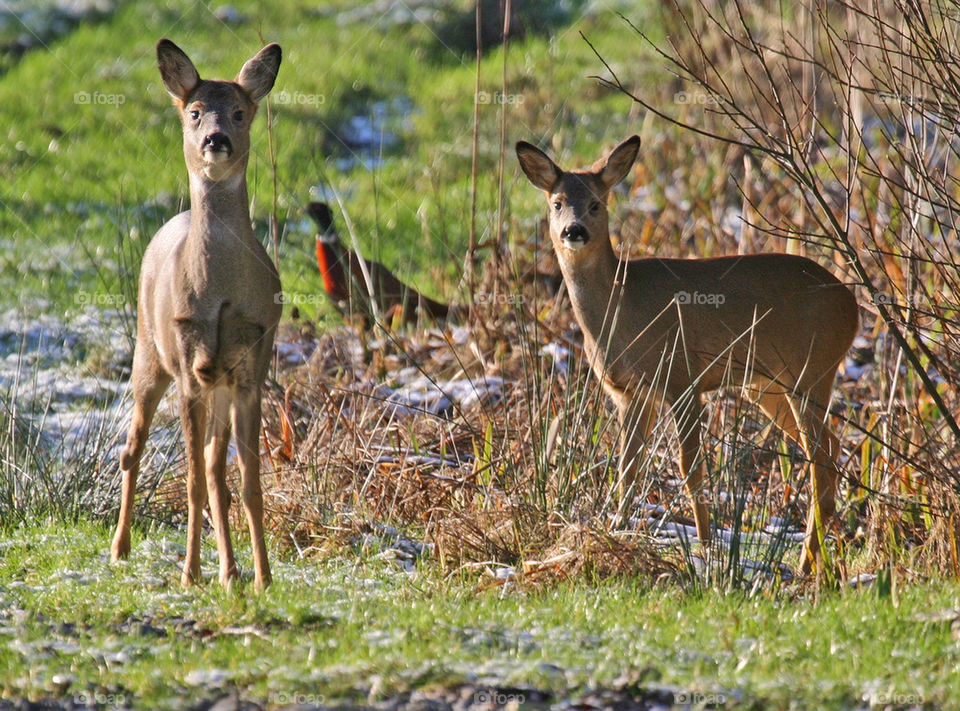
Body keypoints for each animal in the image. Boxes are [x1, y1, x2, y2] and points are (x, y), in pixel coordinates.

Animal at [110, 41, 282, 592]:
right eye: (194, 112)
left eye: (240, 112)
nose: (216, 139)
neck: (222, 291)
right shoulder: (189, 370)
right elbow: (190, 483)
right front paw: (189, 573)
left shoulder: (250, 371)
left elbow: (246, 483)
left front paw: (261, 577)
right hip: (149, 352)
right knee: (134, 445)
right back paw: (120, 548)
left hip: (220, 385)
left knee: (212, 466)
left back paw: (230, 570)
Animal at [520, 136, 860, 576]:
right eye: (557, 202)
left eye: (596, 203)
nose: (573, 230)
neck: (623, 308)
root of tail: (853, 307)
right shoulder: (629, 394)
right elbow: (628, 467)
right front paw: (613, 532)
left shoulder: (682, 376)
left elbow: (689, 465)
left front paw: (705, 544)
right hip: (767, 385)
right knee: (830, 449)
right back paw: (814, 561)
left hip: (812, 367)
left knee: (821, 457)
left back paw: (804, 563)